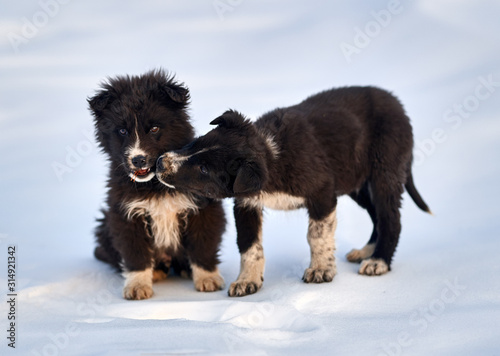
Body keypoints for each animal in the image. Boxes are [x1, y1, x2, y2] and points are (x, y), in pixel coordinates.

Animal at [89, 69, 226, 300]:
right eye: (122, 131)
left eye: (154, 128)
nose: (138, 160)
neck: (154, 184)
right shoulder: (126, 213)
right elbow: (135, 253)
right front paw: (137, 286)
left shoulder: (202, 208)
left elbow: (203, 246)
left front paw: (208, 279)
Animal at [156, 87, 430, 298]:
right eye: (196, 142)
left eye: (204, 169)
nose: (160, 163)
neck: (270, 156)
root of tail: (397, 103)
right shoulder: (246, 204)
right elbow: (249, 246)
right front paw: (248, 281)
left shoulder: (322, 192)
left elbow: (317, 235)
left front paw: (320, 270)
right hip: (357, 182)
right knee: (376, 216)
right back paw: (366, 251)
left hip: (385, 171)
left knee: (390, 218)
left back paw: (378, 261)